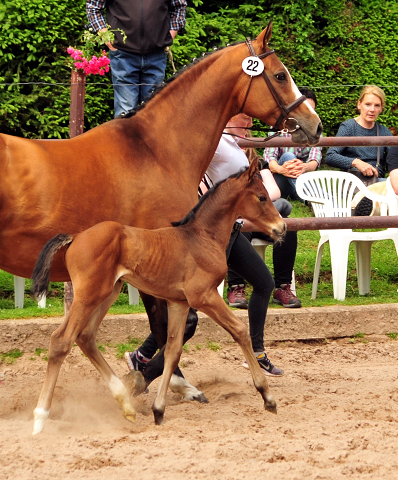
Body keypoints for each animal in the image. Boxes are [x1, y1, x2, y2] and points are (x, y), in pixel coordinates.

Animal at [31, 161, 286, 436]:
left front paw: (159, 410)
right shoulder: (204, 296)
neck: (201, 237)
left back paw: (126, 403)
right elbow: (240, 330)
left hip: (106, 293)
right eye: (261, 197)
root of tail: (75, 237)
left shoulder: (179, 303)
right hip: (88, 295)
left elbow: (173, 350)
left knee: (85, 337)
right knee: (61, 340)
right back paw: (40, 418)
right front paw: (267, 397)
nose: (281, 228)